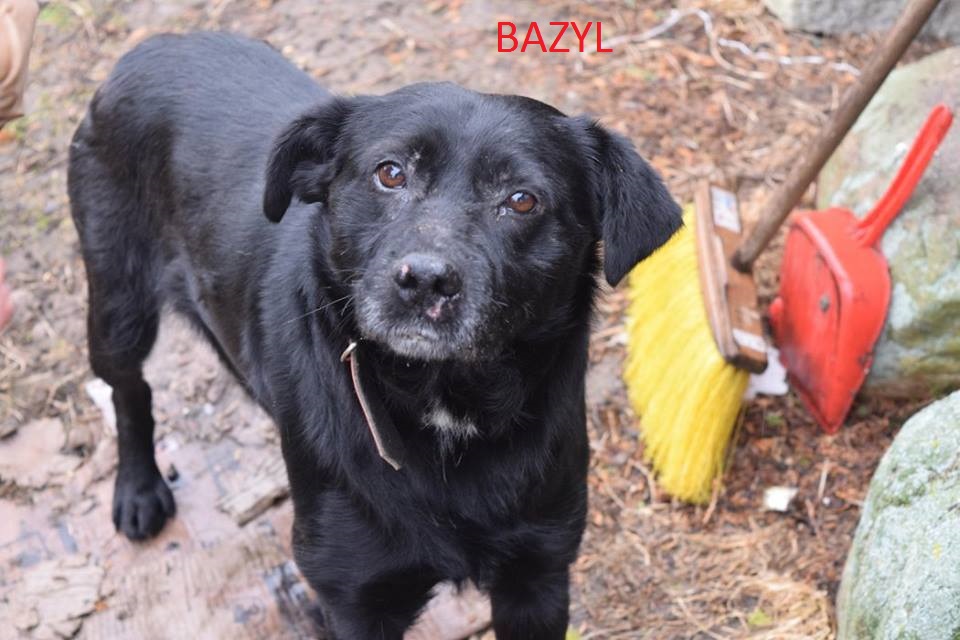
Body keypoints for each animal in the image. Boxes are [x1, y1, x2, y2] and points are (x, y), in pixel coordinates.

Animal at [68, 32, 681, 639]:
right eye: (390, 173)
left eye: (522, 199)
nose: (425, 280)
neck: (445, 404)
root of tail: (154, 44)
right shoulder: (356, 599)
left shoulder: (538, 576)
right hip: (118, 306)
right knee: (129, 390)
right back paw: (139, 490)